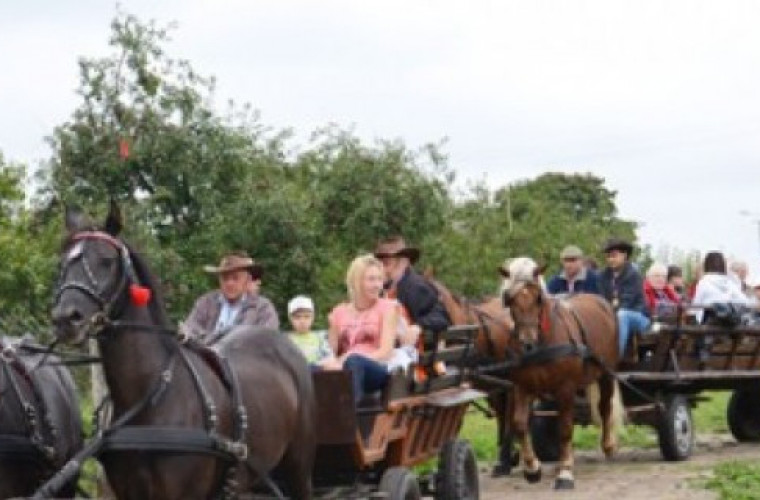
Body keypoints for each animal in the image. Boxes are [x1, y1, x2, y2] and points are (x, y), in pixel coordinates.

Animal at [498, 258, 624, 488]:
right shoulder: (522, 387)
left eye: (538, 298)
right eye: (509, 299)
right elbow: (520, 424)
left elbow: (565, 427)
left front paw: (565, 472)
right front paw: (532, 468)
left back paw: (608, 445)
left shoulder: (566, 387)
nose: (527, 343)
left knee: (604, 407)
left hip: (606, 373)